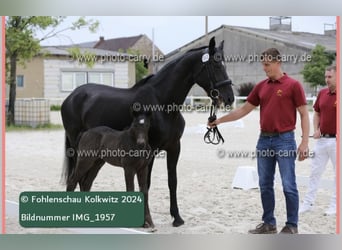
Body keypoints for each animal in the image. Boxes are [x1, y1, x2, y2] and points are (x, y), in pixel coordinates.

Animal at [60, 37, 235, 227]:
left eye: (225, 65)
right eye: (216, 65)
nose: (229, 98)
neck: (162, 103)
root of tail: (71, 97)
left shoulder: (174, 147)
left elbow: (172, 181)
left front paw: (177, 217)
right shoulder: (150, 151)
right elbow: (146, 184)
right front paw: (145, 221)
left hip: (98, 157)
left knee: (85, 181)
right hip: (80, 150)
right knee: (77, 179)